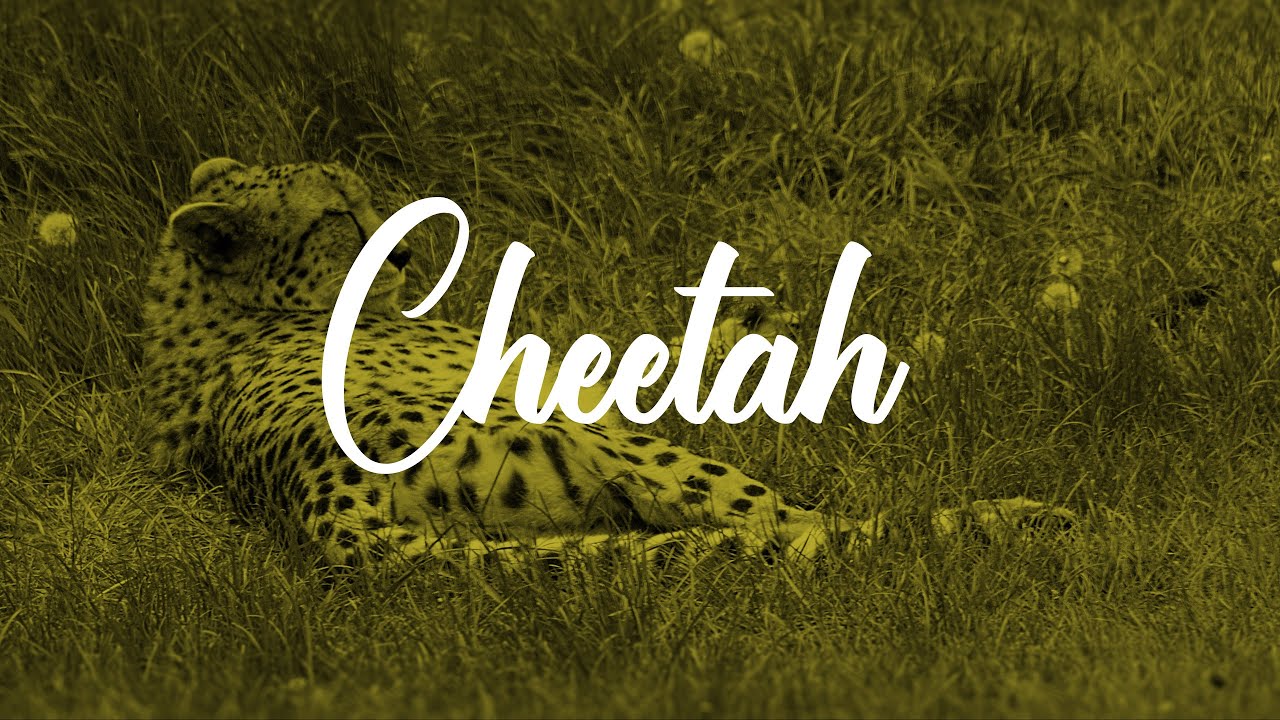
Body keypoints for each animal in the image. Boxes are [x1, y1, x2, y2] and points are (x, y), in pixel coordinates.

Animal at [141, 157, 1078, 574]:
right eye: (338, 216)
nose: (408, 255)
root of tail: (327, 515)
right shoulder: (589, 402)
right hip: (616, 447)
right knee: (804, 526)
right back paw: (1001, 517)